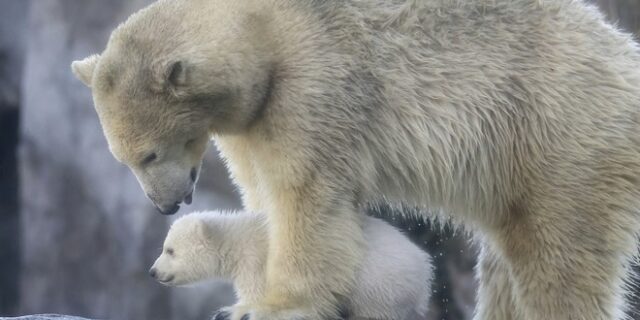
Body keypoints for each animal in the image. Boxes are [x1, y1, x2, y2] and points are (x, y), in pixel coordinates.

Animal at [150, 211, 432, 318]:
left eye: (170, 250)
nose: (153, 272)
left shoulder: (257, 263)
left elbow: (261, 297)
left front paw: (233, 310)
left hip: (379, 283)